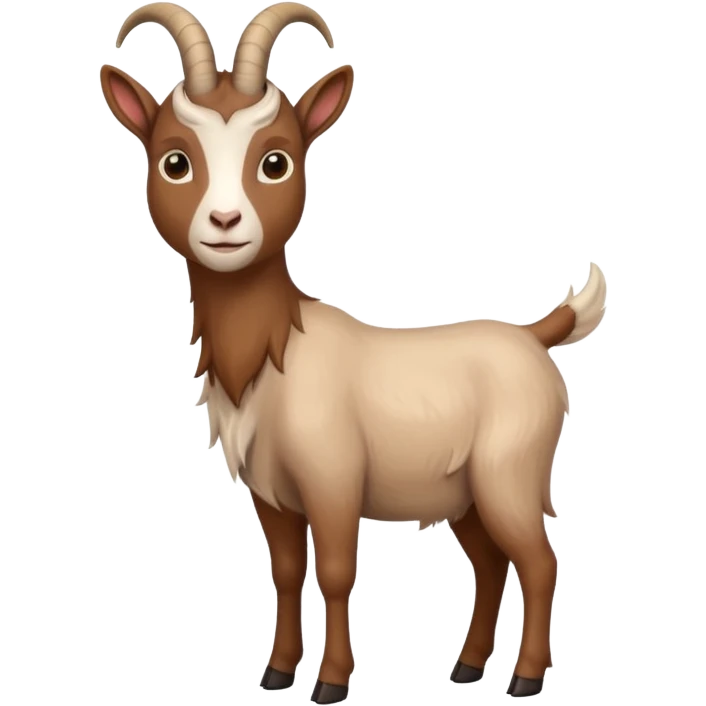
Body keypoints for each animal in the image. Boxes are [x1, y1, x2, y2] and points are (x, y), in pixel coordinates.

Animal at [99, 2, 608, 702]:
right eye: (174, 160)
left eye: (277, 161)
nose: (225, 224)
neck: (277, 351)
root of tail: (535, 334)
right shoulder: (271, 494)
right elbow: (288, 572)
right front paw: (278, 671)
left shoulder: (333, 481)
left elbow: (337, 572)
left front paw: (331, 683)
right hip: (466, 495)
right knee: (490, 563)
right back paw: (467, 667)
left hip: (509, 474)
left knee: (537, 561)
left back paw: (526, 678)